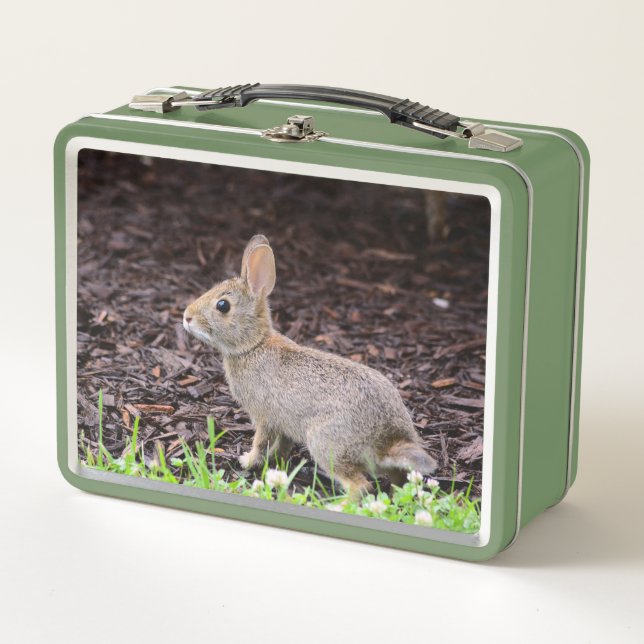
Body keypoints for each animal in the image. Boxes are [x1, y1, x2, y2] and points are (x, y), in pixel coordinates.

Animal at [183, 234, 437, 497]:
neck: (253, 345)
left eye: (222, 306)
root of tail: (387, 440)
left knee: (360, 487)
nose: (186, 316)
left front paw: (247, 461)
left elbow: (260, 442)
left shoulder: (264, 417)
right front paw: (276, 462)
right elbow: (281, 445)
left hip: (325, 443)